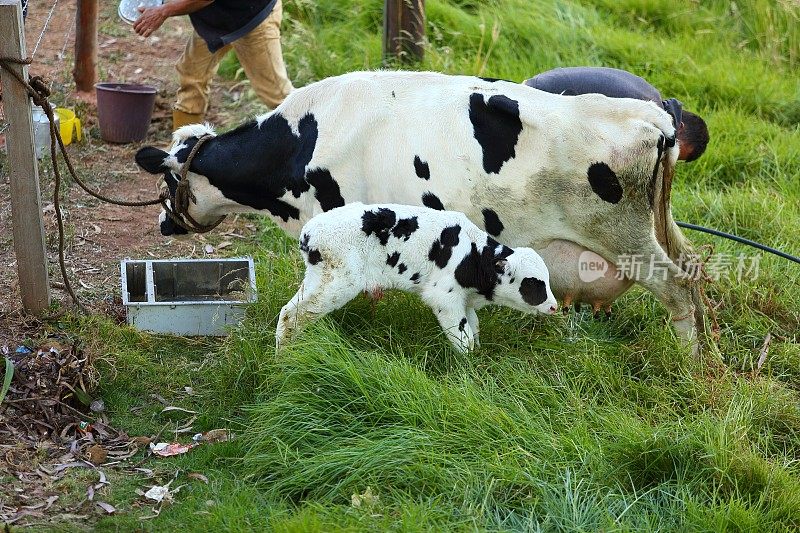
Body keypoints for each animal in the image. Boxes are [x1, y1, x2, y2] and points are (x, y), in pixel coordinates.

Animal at [276, 204, 556, 354]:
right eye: (533, 283)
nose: (554, 307)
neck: (473, 256)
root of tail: (308, 235)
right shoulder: (444, 296)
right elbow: (462, 337)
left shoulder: (464, 299)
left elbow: (474, 328)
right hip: (336, 281)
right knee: (293, 314)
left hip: (318, 278)